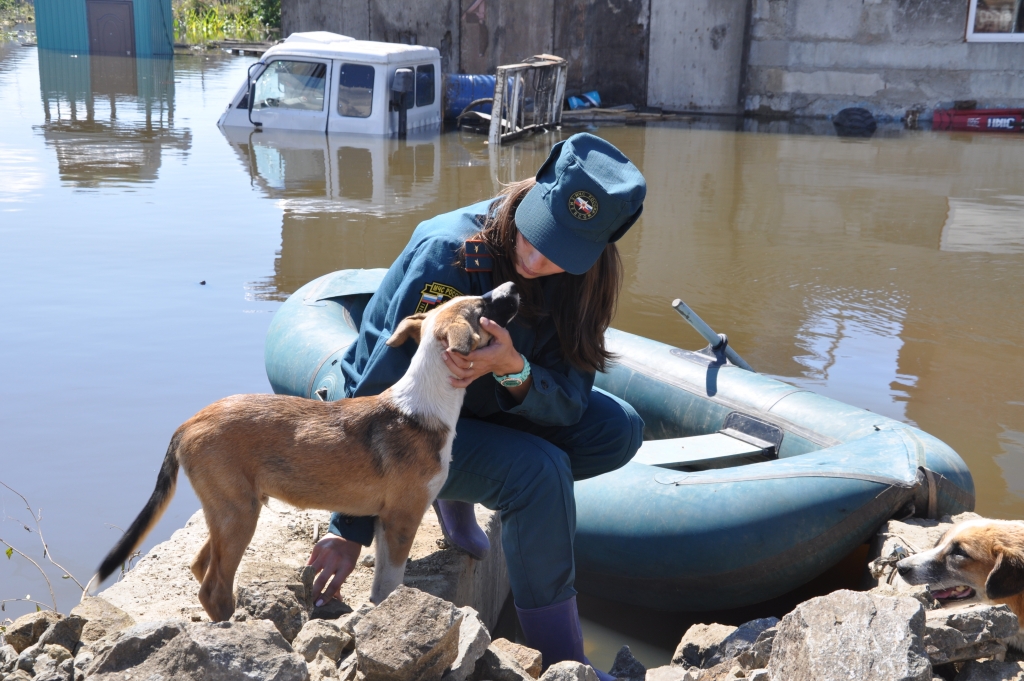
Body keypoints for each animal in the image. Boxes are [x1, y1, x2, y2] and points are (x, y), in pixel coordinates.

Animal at [90, 280, 520, 622]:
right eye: (483, 307)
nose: (514, 286)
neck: (423, 404)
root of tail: (189, 423)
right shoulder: (403, 517)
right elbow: (391, 580)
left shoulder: (385, 520)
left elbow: (382, 585)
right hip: (238, 513)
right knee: (213, 587)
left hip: (229, 509)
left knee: (201, 566)